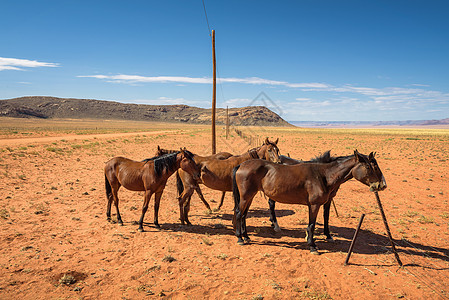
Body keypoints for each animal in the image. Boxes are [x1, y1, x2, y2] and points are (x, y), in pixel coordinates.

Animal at [231, 149, 384, 253]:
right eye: (369, 167)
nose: (382, 185)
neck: (323, 175)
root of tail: (241, 165)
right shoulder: (315, 205)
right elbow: (311, 225)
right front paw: (312, 246)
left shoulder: (320, 203)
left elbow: (321, 220)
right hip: (245, 196)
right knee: (239, 213)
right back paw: (240, 238)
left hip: (250, 196)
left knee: (244, 215)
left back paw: (246, 237)